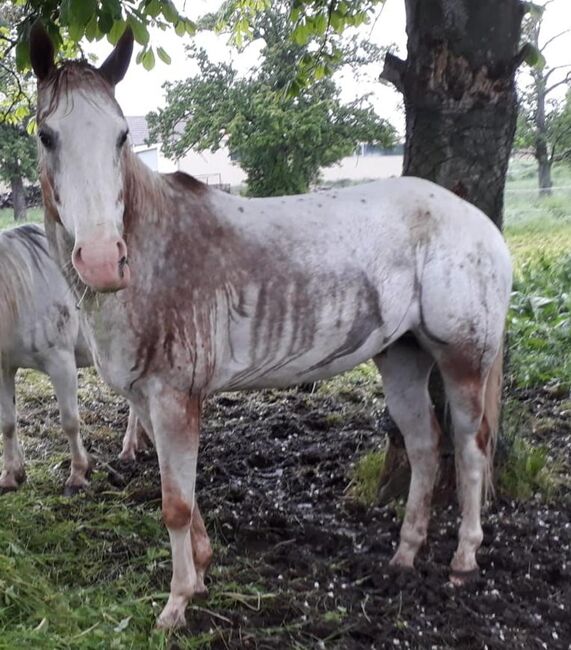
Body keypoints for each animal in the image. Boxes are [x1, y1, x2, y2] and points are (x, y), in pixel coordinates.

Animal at [30, 25, 512, 628]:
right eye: (46, 134)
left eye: (120, 137)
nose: (100, 259)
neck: (155, 250)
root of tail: (478, 223)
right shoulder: (148, 399)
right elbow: (184, 497)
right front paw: (202, 573)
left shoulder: (174, 398)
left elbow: (174, 504)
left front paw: (176, 604)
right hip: (402, 356)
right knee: (426, 446)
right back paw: (404, 556)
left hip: (463, 359)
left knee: (470, 448)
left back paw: (464, 560)